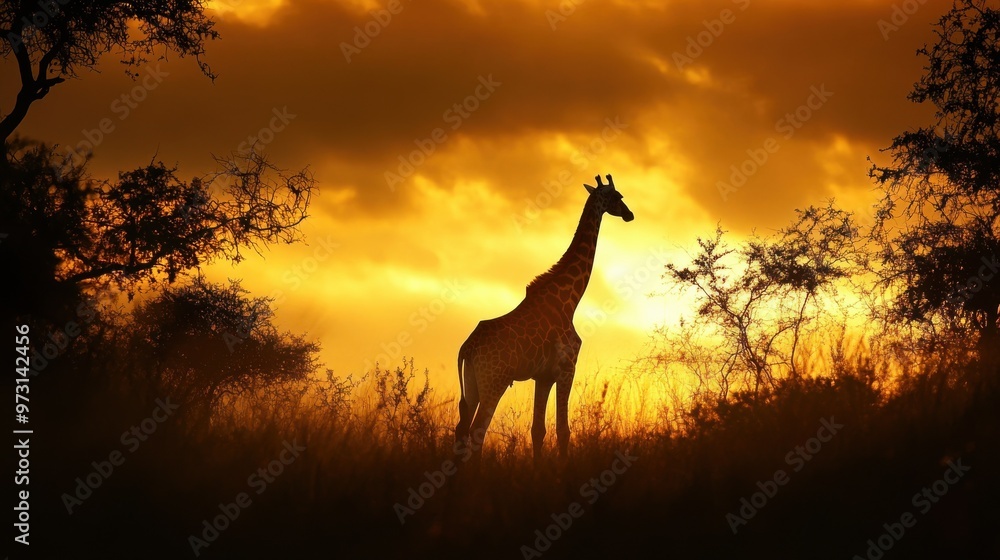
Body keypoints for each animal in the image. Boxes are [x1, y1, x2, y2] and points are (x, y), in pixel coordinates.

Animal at [455, 174, 634, 461]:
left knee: (460, 429)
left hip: (472, 382)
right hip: (494, 381)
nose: (630, 214)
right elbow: (563, 431)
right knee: (477, 431)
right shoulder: (567, 368)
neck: (569, 299)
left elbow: (538, 431)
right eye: (618, 196)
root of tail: (466, 348)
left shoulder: (543, 376)